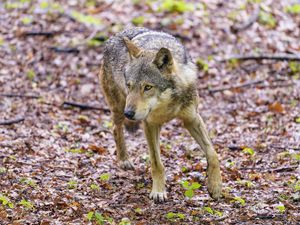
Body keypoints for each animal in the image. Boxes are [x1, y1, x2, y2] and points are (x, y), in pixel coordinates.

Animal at [99, 26, 221, 202]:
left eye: (147, 87)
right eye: (129, 85)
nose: (129, 113)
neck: (167, 105)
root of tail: (116, 36)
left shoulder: (191, 119)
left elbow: (212, 152)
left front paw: (215, 186)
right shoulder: (150, 125)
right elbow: (157, 163)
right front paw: (158, 192)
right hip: (118, 107)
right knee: (116, 129)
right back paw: (124, 160)